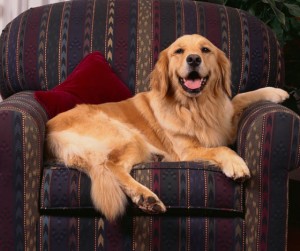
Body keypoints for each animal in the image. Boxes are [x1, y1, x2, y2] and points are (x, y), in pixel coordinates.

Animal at [46, 34, 288, 221]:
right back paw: (146, 197)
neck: (194, 108)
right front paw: (236, 164)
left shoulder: (224, 125)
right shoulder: (188, 151)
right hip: (128, 135)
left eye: (205, 49)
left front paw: (275, 92)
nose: (193, 59)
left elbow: (238, 98)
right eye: (179, 51)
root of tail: (51, 133)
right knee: (112, 165)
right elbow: (222, 149)